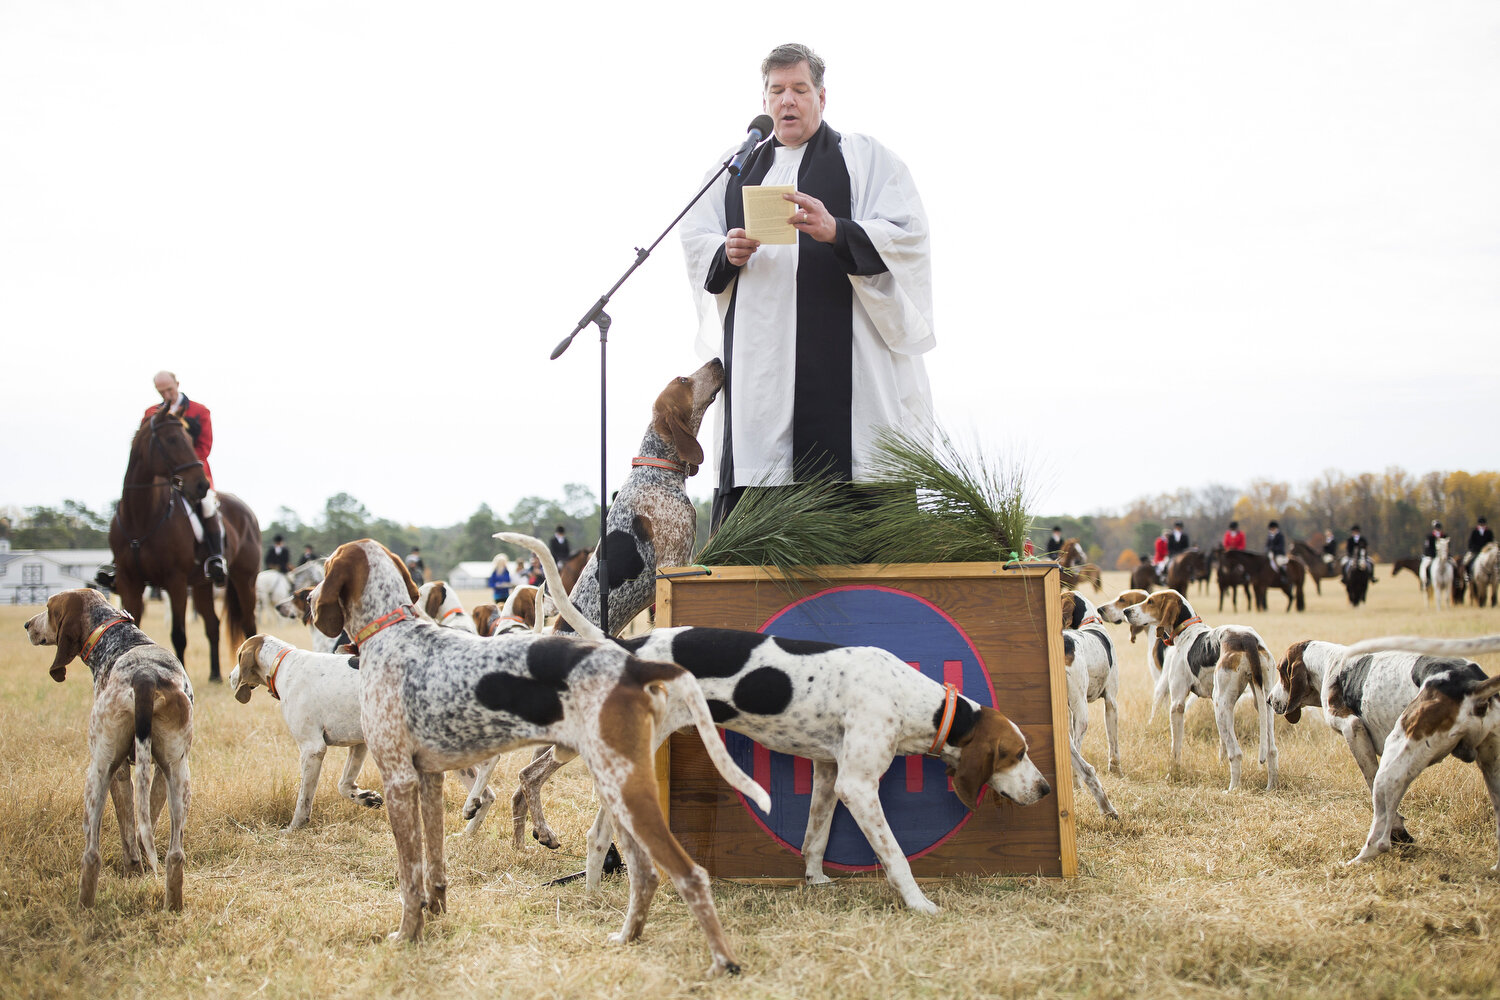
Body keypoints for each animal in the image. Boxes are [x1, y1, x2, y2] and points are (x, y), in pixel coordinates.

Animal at [109, 410, 258, 683]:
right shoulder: (129, 583)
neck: (141, 518)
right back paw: (214, 674)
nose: (201, 485)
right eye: (171, 439)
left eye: (189, 439)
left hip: (245, 579)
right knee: (212, 625)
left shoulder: (175, 582)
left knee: (248, 624)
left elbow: (179, 635)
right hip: (201, 585)